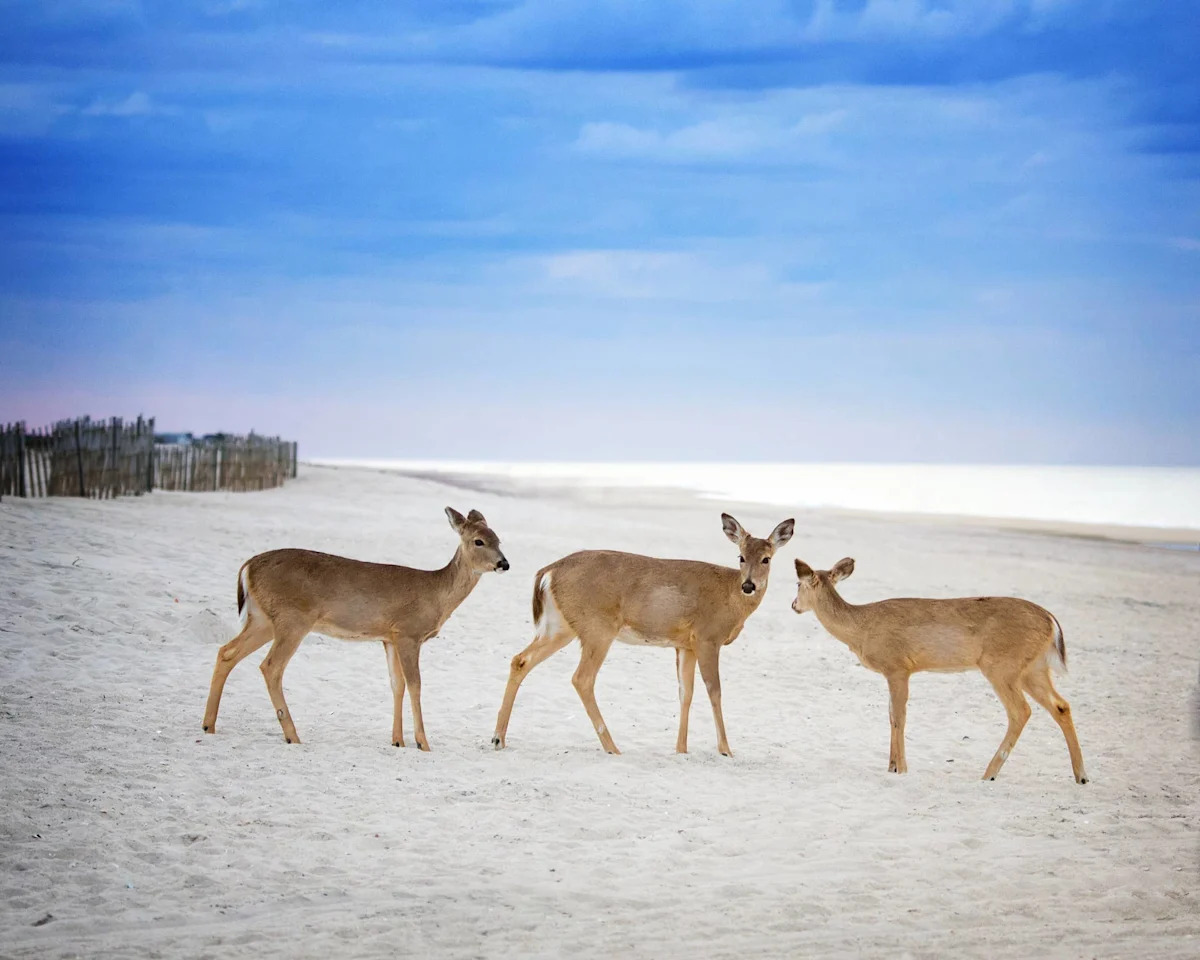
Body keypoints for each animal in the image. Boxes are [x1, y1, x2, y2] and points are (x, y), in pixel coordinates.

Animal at [202, 507, 508, 751]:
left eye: (499, 539)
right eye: (479, 541)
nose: (503, 563)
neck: (436, 594)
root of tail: (247, 566)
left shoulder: (389, 637)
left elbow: (396, 684)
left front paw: (397, 741)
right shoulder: (408, 633)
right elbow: (415, 684)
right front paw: (423, 743)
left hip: (263, 619)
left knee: (226, 652)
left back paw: (208, 725)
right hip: (293, 618)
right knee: (271, 666)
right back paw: (292, 735)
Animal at [491, 513, 794, 756]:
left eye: (766, 559)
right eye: (740, 557)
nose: (749, 585)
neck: (730, 597)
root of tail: (548, 571)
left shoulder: (685, 645)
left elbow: (685, 692)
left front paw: (681, 749)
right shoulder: (708, 637)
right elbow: (714, 690)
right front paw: (725, 751)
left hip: (560, 627)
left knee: (520, 660)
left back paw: (498, 738)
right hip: (598, 627)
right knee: (582, 678)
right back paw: (612, 747)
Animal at [790, 557, 1088, 783]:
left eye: (798, 584)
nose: (793, 605)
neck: (861, 627)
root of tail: (1051, 620)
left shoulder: (898, 666)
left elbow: (899, 717)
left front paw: (901, 768)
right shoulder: (894, 671)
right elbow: (891, 715)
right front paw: (891, 766)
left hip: (1001, 665)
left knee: (1021, 711)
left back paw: (989, 774)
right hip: (1032, 668)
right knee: (1061, 706)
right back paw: (1081, 775)